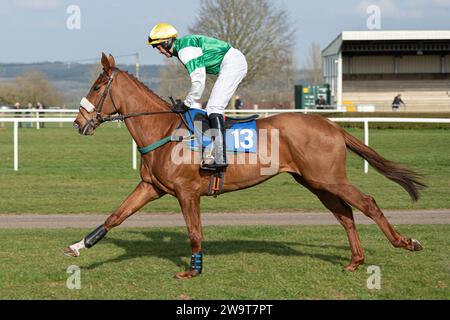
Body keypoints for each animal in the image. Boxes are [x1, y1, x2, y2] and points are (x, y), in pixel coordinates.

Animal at [64, 53, 426, 278]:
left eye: (97, 87)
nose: (78, 123)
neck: (164, 130)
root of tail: (331, 124)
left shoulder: (186, 192)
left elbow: (194, 231)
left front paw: (193, 269)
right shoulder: (151, 187)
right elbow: (115, 216)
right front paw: (78, 246)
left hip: (329, 178)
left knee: (367, 203)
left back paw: (405, 242)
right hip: (315, 181)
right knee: (346, 215)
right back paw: (355, 261)